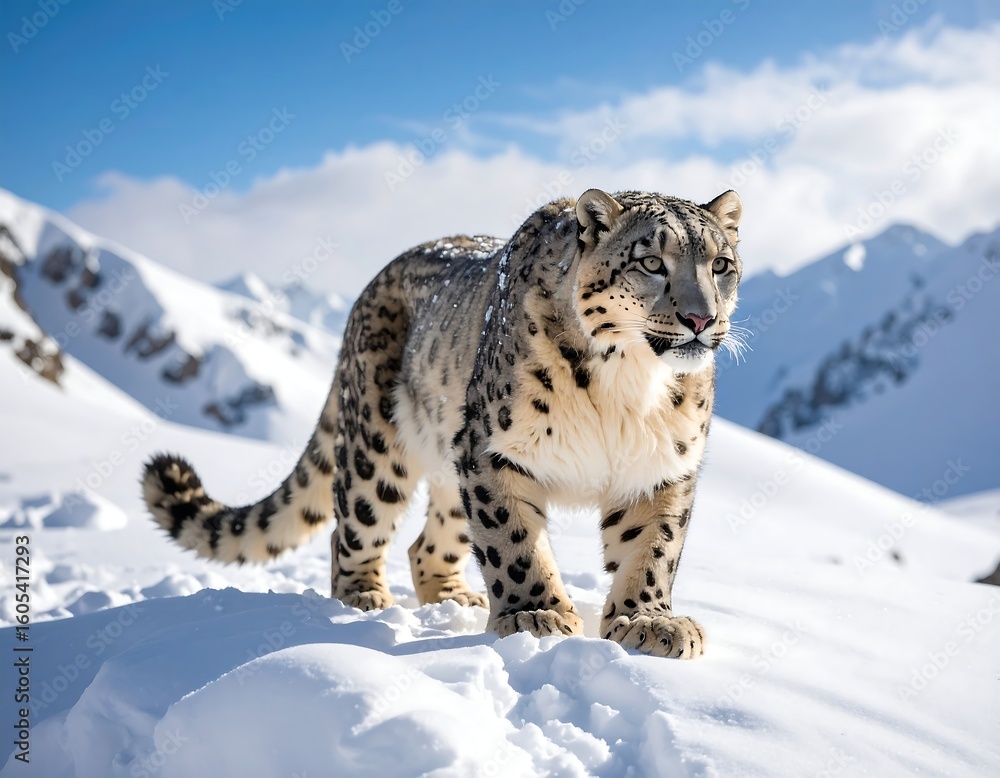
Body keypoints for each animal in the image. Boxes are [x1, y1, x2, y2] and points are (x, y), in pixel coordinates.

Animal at [142, 187, 743, 658]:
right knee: (351, 529)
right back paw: (365, 596)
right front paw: (535, 614)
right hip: (379, 450)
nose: (701, 318)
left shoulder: (664, 466)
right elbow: (514, 542)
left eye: (721, 265)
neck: (627, 387)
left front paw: (648, 621)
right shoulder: (494, 451)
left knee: (428, 544)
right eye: (651, 263)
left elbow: (652, 547)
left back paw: (455, 595)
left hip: (453, 475)